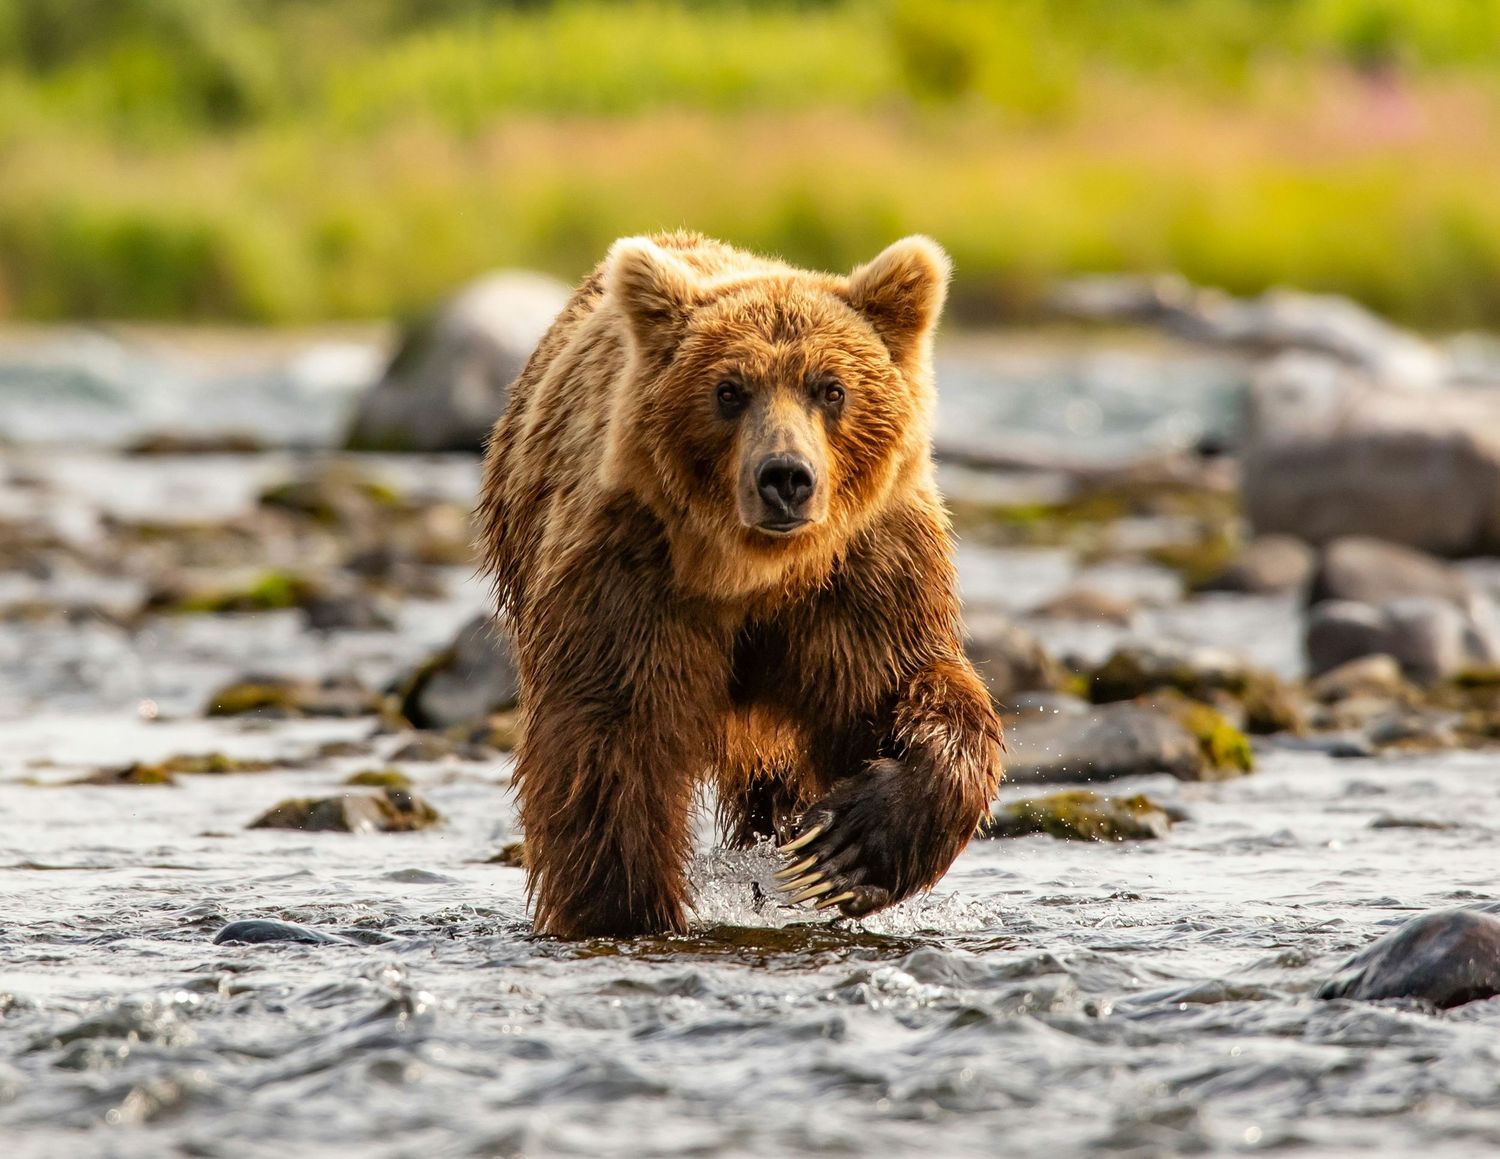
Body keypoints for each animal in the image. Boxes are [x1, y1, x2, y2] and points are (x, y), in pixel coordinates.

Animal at [477, 231, 1003, 938]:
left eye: (830, 389)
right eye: (729, 390)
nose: (785, 477)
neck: (753, 574)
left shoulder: (863, 577)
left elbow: (909, 690)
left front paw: (843, 850)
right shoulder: (631, 575)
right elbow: (611, 743)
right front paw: (626, 909)